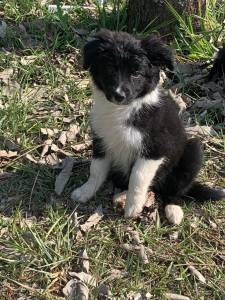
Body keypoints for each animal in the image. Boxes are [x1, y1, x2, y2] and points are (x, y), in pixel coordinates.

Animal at [71, 29, 225, 224]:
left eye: (136, 73)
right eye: (110, 69)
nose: (119, 95)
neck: (122, 110)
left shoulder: (156, 149)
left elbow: (138, 177)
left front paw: (133, 207)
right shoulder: (101, 139)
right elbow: (96, 170)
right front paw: (85, 191)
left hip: (192, 152)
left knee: (173, 190)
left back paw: (173, 209)